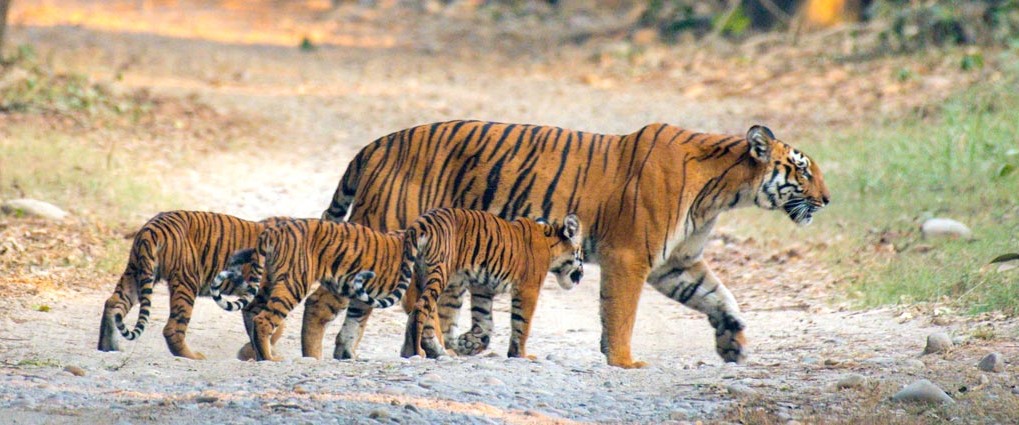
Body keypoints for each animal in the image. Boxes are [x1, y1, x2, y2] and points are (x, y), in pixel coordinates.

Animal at [97, 209, 289, 358]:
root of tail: (152, 228)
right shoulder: (257, 297)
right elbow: (272, 325)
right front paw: (257, 352)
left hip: (135, 272)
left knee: (113, 303)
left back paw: (108, 348)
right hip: (186, 281)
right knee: (172, 328)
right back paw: (193, 356)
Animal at [309, 120, 827, 366]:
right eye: (803, 170)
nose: (827, 199)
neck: (724, 189)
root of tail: (375, 144)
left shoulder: (676, 264)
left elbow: (721, 298)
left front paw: (733, 344)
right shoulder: (630, 257)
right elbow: (621, 314)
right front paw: (623, 361)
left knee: (369, 307)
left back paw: (353, 354)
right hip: (384, 235)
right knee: (324, 299)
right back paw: (313, 356)